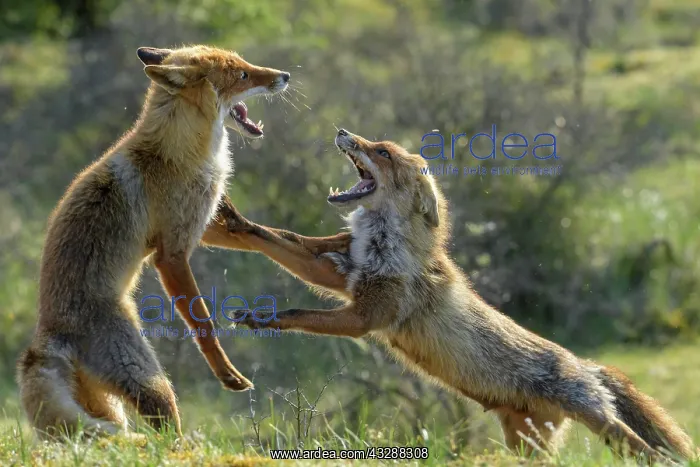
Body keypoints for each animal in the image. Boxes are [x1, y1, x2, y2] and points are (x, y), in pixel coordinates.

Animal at [16, 45, 290, 440]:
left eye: (245, 64)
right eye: (242, 75)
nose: (285, 76)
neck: (179, 153)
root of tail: (45, 336)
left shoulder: (198, 223)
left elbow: (253, 234)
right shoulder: (171, 253)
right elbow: (203, 325)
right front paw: (226, 373)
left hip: (108, 407)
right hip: (152, 383)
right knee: (164, 431)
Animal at [207, 129, 694, 462]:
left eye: (382, 152)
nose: (343, 131)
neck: (383, 243)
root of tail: (583, 363)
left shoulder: (365, 314)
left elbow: (299, 311)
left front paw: (264, 319)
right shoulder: (338, 272)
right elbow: (275, 239)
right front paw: (233, 219)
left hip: (598, 424)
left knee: (647, 448)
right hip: (527, 444)